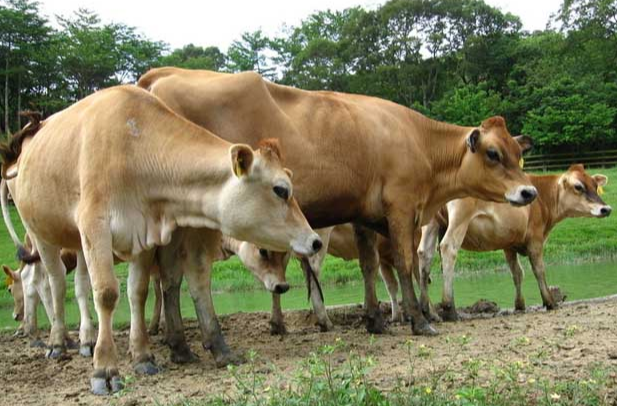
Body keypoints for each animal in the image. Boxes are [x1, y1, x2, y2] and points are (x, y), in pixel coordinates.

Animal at [2, 85, 322, 394]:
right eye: (281, 189)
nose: (315, 241)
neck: (133, 149)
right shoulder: (95, 225)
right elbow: (106, 293)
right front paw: (105, 369)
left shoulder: (143, 234)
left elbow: (138, 291)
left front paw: (143, 356)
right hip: (40, 231)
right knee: (52, 283)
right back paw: (58, 342)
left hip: (80, 246)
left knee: (79, 286)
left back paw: (86, 339)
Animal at [137, 67, 536, 342]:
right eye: (493, 153)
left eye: (518, 154)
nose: (529, 192)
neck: (416, 139)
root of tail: (162, 74)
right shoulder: (402, 207)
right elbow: (405, 263)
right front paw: (420, 321)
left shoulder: (363, 213)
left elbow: (369, 265)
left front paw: (375, 320)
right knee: (183, 275)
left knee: (167, 277)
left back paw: (177, 344)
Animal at [414, 163, 612, 320]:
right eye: (578, 186)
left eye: (595, 185)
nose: (606, 209)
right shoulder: (535, 237)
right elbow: (538, 269)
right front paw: (549, 301)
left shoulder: (508, 244)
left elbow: (517, 273)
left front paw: (520, 304)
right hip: (460, 218)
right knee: (448, 248)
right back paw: (449, 309)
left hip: (431, 222)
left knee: (424, 255)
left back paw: (430, 312)